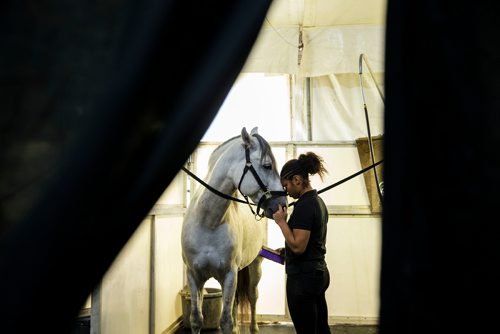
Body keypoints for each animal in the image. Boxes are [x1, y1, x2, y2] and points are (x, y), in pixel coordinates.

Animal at [182, 126, 288, 332]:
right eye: (267, 166)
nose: (282, 205)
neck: (209, 223)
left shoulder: (229, 275)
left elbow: (226, 321)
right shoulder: (194, 276)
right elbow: (197, 319)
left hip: (254, 266)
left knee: (253, 297)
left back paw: (254, 327)